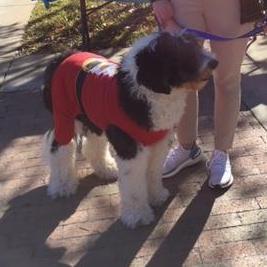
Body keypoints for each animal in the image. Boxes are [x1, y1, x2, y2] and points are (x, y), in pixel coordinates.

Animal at [42, 31, 218, 228]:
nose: (214, 62)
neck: (146, 92)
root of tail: (62, 57)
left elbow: (153, 173)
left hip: (94, 117)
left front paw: (156, 196)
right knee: (59, 149)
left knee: (93, 145)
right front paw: (138, 215)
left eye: (194, 45)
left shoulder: (158, 144)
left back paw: (106, 169)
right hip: (65, 117)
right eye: (180, 52)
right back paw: (62, 185)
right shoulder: (130, 149)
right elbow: (134, 185)